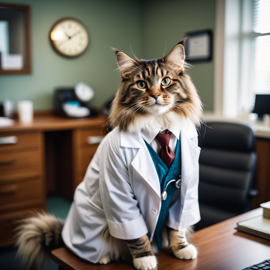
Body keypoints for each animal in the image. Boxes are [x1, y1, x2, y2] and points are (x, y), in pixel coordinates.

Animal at [16, 37, 202, 270]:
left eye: (166, 81)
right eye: (142, 84)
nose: (156, 95)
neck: (159, 127)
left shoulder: (185, 191)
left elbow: (178, 225)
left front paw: (181, 249)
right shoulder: (120, 194)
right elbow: (136, 234)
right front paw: (145, 259)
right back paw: (102, 258)